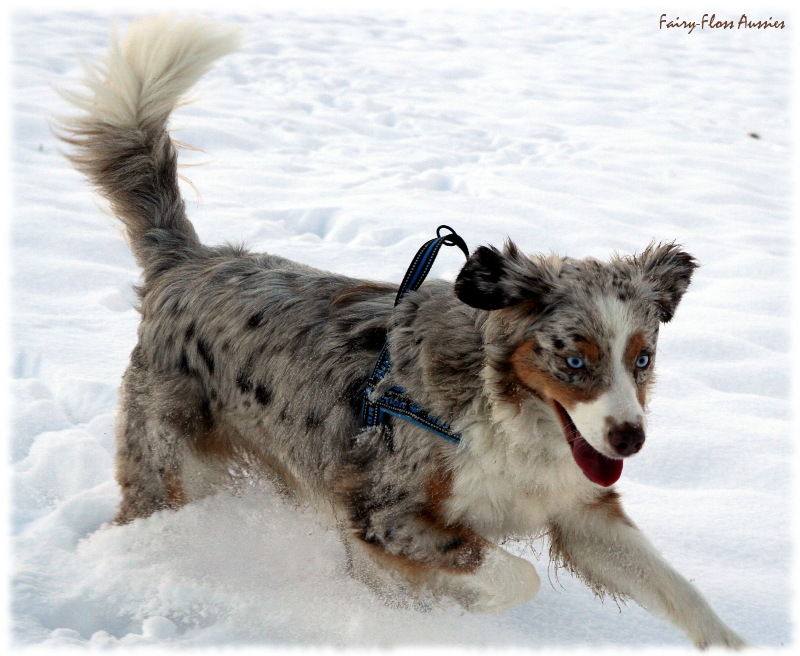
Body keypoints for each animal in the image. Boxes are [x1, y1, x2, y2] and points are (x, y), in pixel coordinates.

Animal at [59, 16, 748, 652]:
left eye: (642, 358)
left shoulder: (580, 511)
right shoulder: (383, 510)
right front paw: (437, 605)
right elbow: (509, 575)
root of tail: (189, 261)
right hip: (172, 466)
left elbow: (677, 589)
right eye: (574, 361)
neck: (504, 412)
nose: (631, 439)